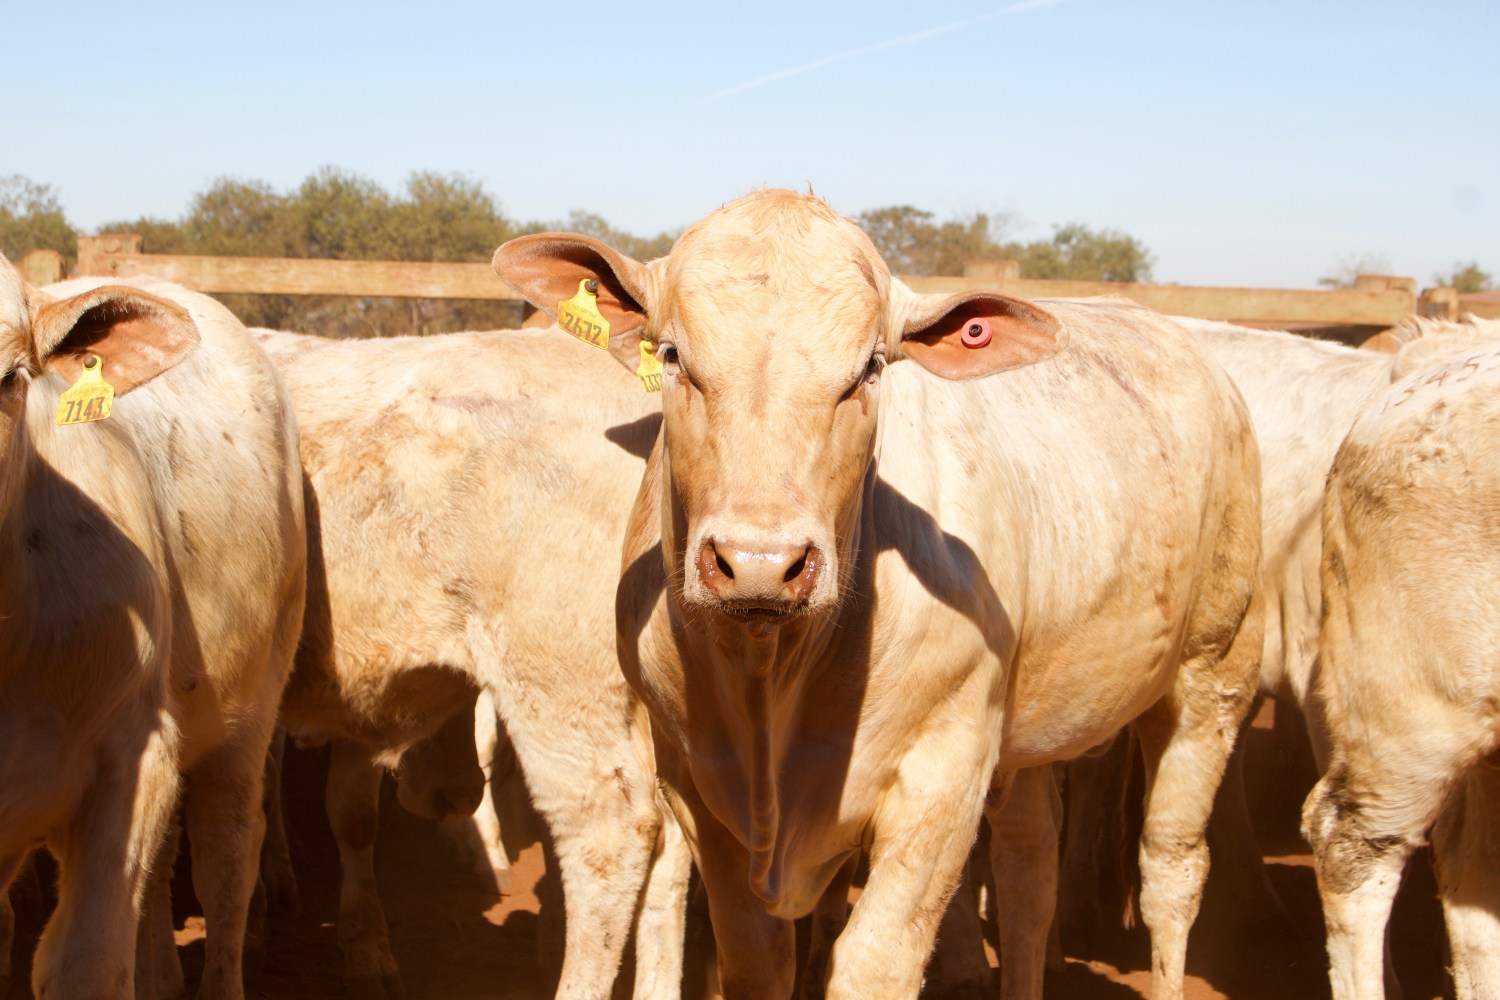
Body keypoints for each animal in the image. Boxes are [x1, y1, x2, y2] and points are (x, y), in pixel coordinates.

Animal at [495, 189, 1266, 1000]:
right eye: (672, 355)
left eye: (868, 369)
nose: (761, 562)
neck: (770, 681)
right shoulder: (695, 786)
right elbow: (757, 962)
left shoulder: (943, 779)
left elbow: (875, 964)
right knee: (1030, 868)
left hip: (1212, 674)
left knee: (1172, 866)